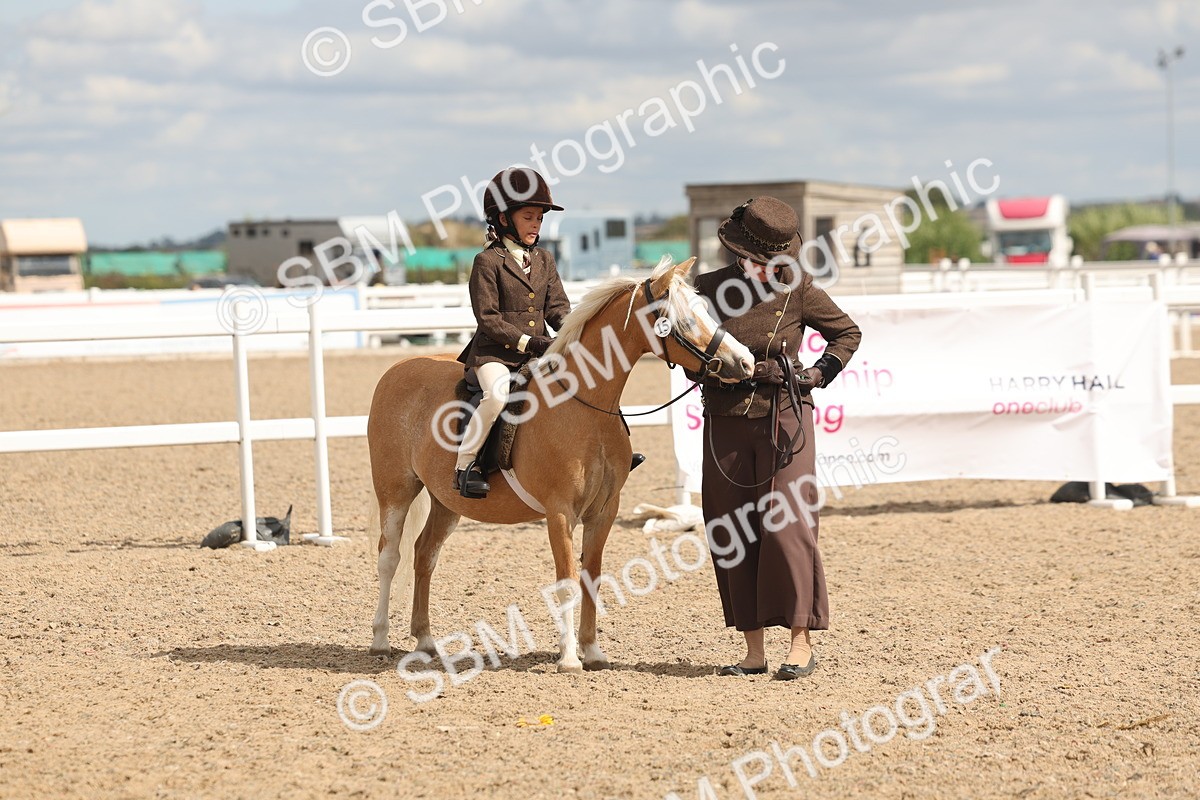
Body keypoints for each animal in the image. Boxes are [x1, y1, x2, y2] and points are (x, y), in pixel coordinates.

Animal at [366, 256, 754, 673]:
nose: (745, 362)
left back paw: (425, 642)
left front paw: (593, 651)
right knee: (390, 556)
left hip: (446, 501)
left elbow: (592, 576)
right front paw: (569, 657)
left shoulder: (604, 511)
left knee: (425, 555)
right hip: (396, 491)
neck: (585, 404)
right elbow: (566, 579)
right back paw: (380, 640)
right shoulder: (560, 512)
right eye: (684, 320)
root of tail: (396, 370)